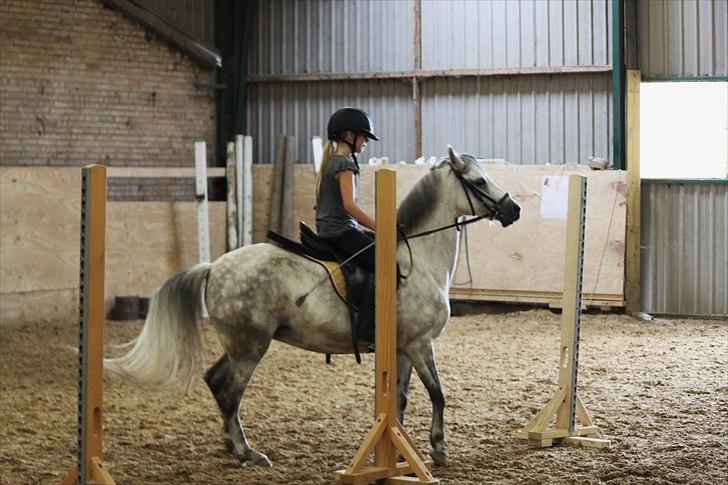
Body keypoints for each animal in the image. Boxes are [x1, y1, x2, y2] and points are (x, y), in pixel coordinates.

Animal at [104, 147, 521, 467]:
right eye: (479, 182)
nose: (513, 209)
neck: (417, 258)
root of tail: (213, 266)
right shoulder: (420, 344)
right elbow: (438, 394)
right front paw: (438, 449)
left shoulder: (404, 348)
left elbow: (400, 400)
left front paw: (402, 451)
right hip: (250, 346)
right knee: (229, 390)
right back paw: (247, 452)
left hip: (239, 345)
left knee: (216, 382)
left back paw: (230, 446)